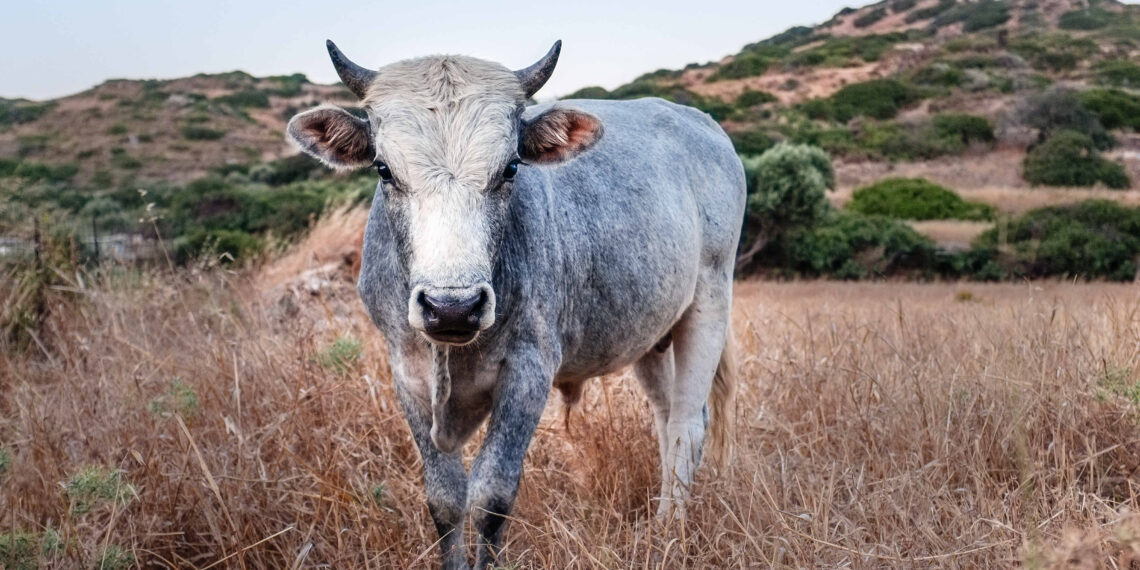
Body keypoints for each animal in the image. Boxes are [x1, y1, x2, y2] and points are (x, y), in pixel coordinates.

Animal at [286, 40, 746, 569]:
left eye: (509, 168)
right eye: (384, 169)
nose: (452, 307)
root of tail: (702, 124)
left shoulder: (529, 370)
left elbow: (491, 494)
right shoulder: (405, 371)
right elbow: (445, 496)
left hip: (710, 304)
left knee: (688, 426)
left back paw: (670, 530)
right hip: (651, 337)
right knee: (666, 419)